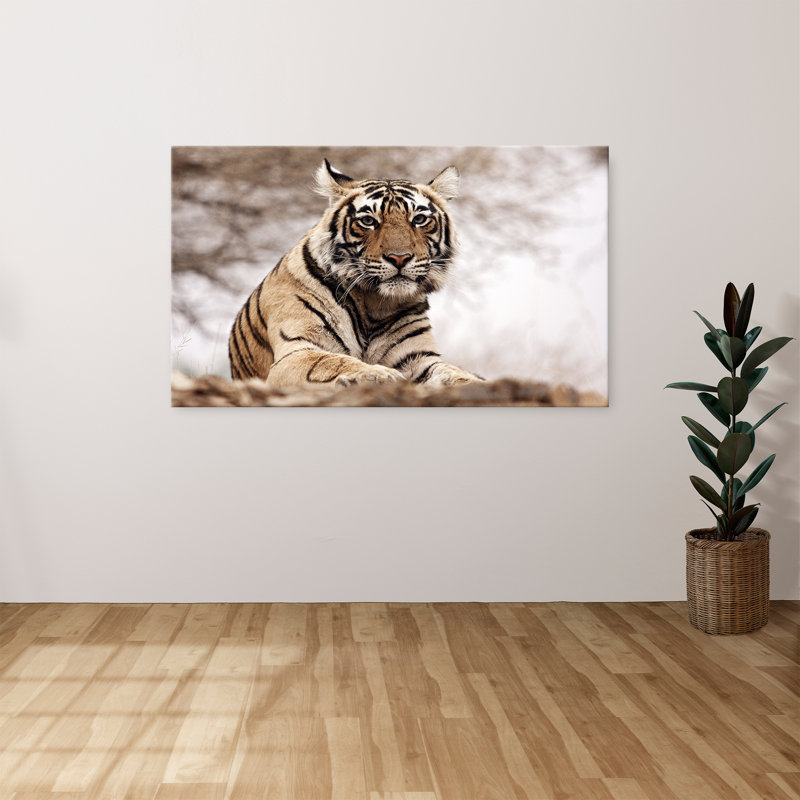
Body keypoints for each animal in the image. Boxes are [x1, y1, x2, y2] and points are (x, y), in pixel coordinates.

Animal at [228, 159, 481, 388]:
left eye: (419, 219)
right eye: (368, 221)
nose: (399, 258)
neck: (375, 304)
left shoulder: (418, 357)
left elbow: (450, 371)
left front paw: (472, 381)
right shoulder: (296, 350)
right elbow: (332, 361)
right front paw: (379, 374)